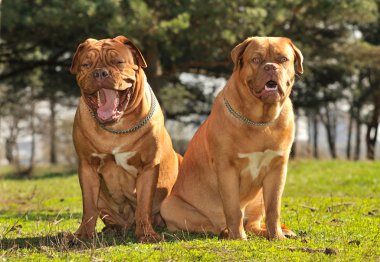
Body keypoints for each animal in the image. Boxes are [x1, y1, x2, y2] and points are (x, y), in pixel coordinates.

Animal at [69, 35, 180, 243]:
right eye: (86, 64)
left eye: (117, 62)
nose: (100, 72)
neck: (116, 129)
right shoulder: (87, 166)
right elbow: (88, 206)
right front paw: (83, 234)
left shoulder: (148, 166)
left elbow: (143, 205)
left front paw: (146, 234)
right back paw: (111, 230)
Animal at [160, 36, 302, 239]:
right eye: (256, 59)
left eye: (282, 59)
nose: (270, 67)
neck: (260, 121)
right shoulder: (227, 168)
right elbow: (233, 209)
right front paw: (238, 237)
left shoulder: (277, 168)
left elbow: (274, 208)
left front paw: (277, 236)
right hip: (169, 206)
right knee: (211, 225)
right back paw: (225, 231)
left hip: (258, 198)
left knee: (253, 223)